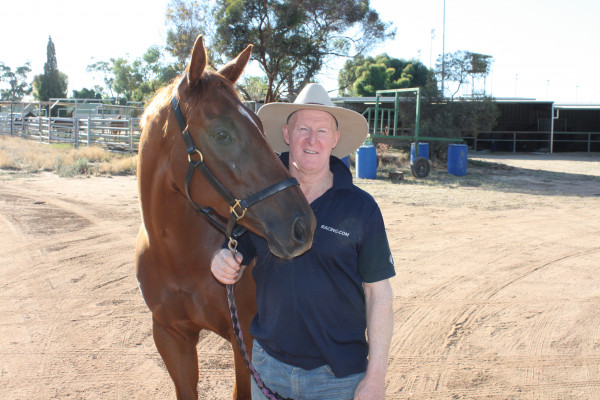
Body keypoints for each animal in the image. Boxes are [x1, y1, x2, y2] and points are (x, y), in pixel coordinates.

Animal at [135, 35, 316, 399]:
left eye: (260, 125)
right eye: (221, 134)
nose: (302, 225)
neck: (180, 259)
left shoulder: (245, 338)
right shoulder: (170, 337)